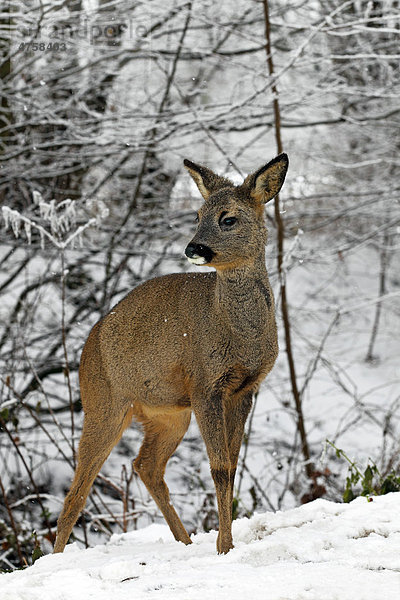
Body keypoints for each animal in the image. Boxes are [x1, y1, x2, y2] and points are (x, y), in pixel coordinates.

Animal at [54, 152, 290, 556]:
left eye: (229, 218)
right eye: (197, 215)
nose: (194, 248)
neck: (238, 333)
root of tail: (86, 348)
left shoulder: (245, 389)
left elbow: (232, 465)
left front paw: (225, 544)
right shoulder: (204, 383)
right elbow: (219, 467)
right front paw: (224, 546)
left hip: (167, 413)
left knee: (145, 465)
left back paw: (185, 540)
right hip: (104, 403)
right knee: (77, 490)